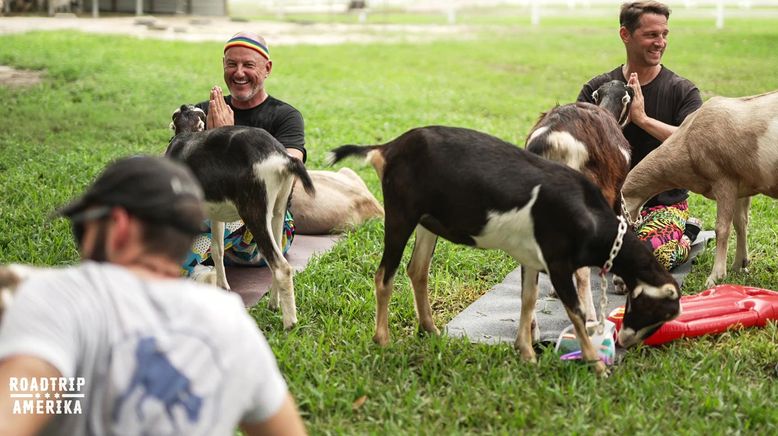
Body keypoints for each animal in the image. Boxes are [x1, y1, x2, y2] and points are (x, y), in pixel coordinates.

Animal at [167, 105, 316, 328]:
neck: (185, 137)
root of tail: (283, 158)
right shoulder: (216, 215)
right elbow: (218, 250)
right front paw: (223, 287)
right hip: (277, 213)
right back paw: (274, 304)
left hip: (254, 214)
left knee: (282, 267)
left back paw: (290, 323)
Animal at [328, 125, 680, 374]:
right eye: (660, 311)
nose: (626, 341)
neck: (588, 216)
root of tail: (386, 148)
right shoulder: (557, 262)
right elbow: (576, 312)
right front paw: (596, 365)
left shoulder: (531, 258)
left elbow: (528, 300)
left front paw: (526, 353)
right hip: (401, 215)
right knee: (384, 275)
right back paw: (382, 339)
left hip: (428, 222)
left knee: (418, 270)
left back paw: (429, 329)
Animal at [620, 90, 778, 288]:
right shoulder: (742, 186)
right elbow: (740, 223)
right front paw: (739, 265)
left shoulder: (724, 179)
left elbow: (722, 228)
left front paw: (716, 276)